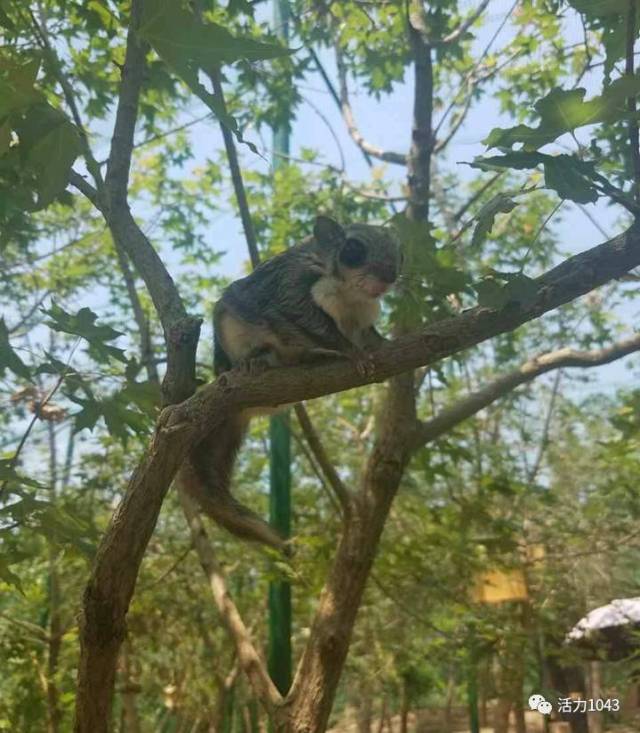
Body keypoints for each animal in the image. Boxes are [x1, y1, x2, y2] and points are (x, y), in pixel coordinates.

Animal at [180, 214, 400, 552]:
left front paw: (384, 345)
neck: (350, 296)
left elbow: (368, 335)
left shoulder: (362, 316)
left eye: (399, 251)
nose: (391, 275)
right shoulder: (291, 287)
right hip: (230, 334)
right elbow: (307, 323)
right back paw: (256, 360)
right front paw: (352, 354)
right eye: (353, 250)